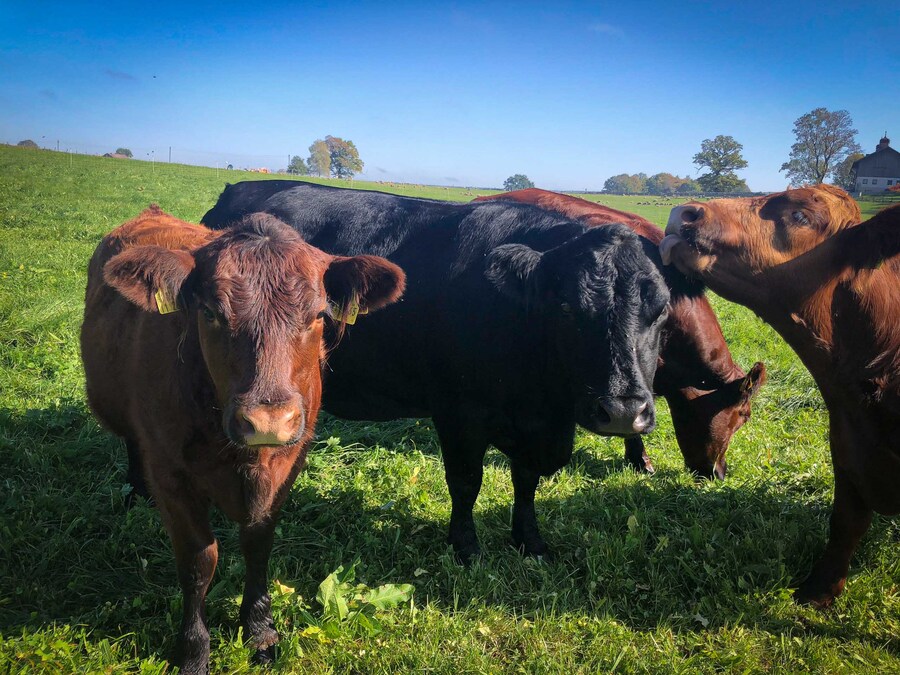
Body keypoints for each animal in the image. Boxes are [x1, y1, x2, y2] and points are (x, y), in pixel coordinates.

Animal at [81, 207, 404, 675]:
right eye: (211, 312)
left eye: (317, 315)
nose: (268, 422)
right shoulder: (171, 473)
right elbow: (199, 561)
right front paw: (194, 651)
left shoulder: (287, 466)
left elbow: (258, 545)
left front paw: (259, 630)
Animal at [202, 182, 668, 564]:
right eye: (567, 309)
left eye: (661, 310)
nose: (624, 412)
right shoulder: (458, 411)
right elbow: (465, 482)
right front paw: (466, 547)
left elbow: (526, 482)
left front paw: (529, 542)